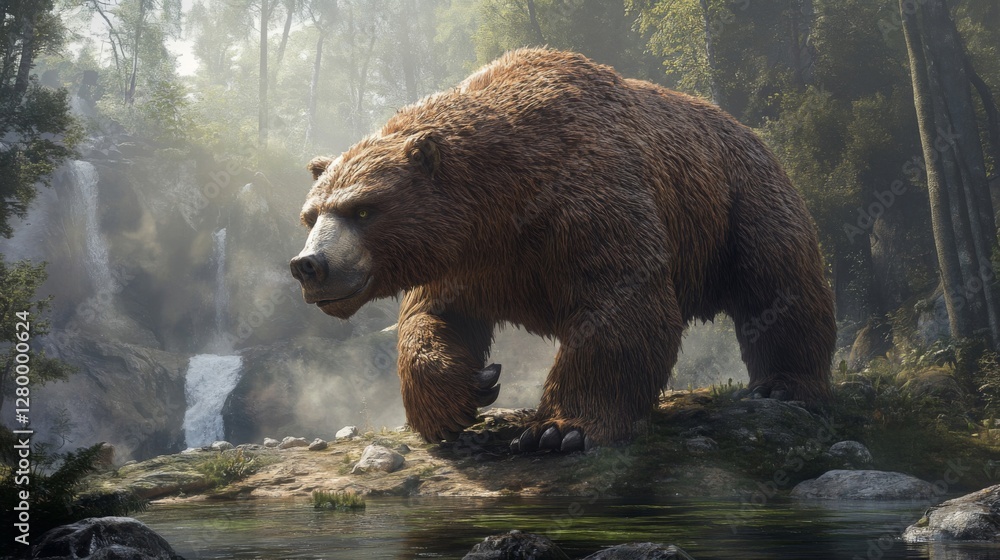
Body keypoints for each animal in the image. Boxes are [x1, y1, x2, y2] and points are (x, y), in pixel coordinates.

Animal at [291, 48, 836, 452]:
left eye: (364, 209)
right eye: (312, 214)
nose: (309, 265)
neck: (503, 199)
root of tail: (747, 128)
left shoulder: (587, 198)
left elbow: (622, 304)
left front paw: (558, 429)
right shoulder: (466, 258)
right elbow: (433, 316)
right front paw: (464, 392)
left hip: (740, 200)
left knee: (779, 285)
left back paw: (784, 385)